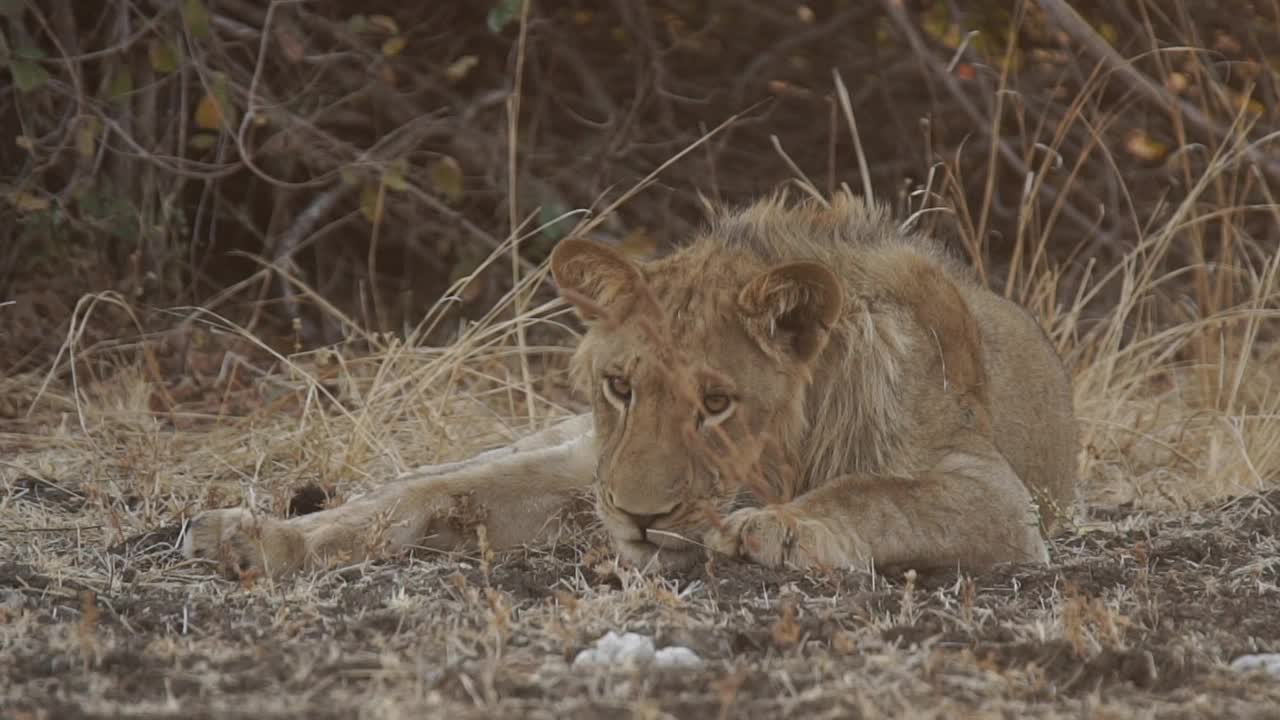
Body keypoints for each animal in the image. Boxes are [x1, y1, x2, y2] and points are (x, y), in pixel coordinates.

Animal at [185, 190, 1075, 576]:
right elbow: (431, 496)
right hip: (569, 447)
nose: (640, 519)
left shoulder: (996, 496)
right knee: (431, 475)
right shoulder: (590, 470)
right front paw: (273, 537)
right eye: (620, 386)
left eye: (717, 404)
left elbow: (872, 492)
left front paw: (780, 529)